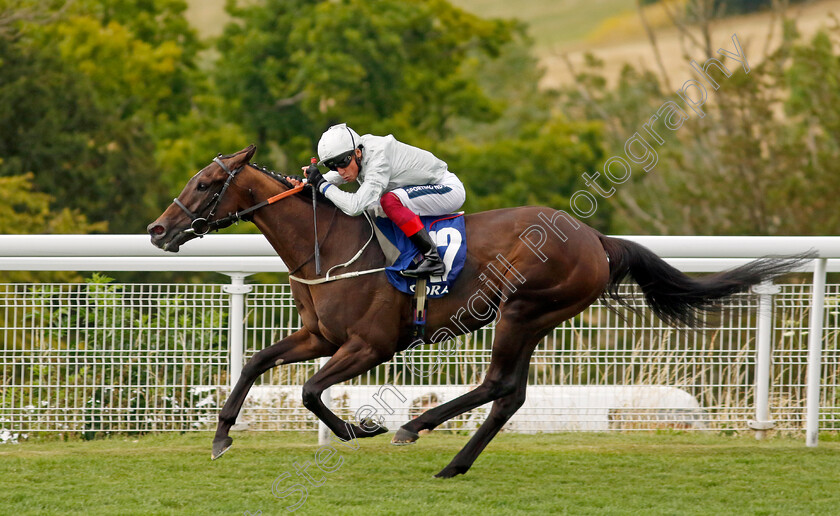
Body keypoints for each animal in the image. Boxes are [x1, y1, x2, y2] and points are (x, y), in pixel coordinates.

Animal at [146, 145, 808, 476]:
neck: (328, 242)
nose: (157, 230)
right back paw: (453, 462)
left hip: (523, 309)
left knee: (497, 385)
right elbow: (256, 362)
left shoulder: (370, 344)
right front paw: (221, 436)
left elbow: (309, 391)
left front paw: (359, 428)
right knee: (510, 395)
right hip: (535, 318)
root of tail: (595, 238)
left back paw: (415, 429)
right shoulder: (320, 336)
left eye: (204, 184)